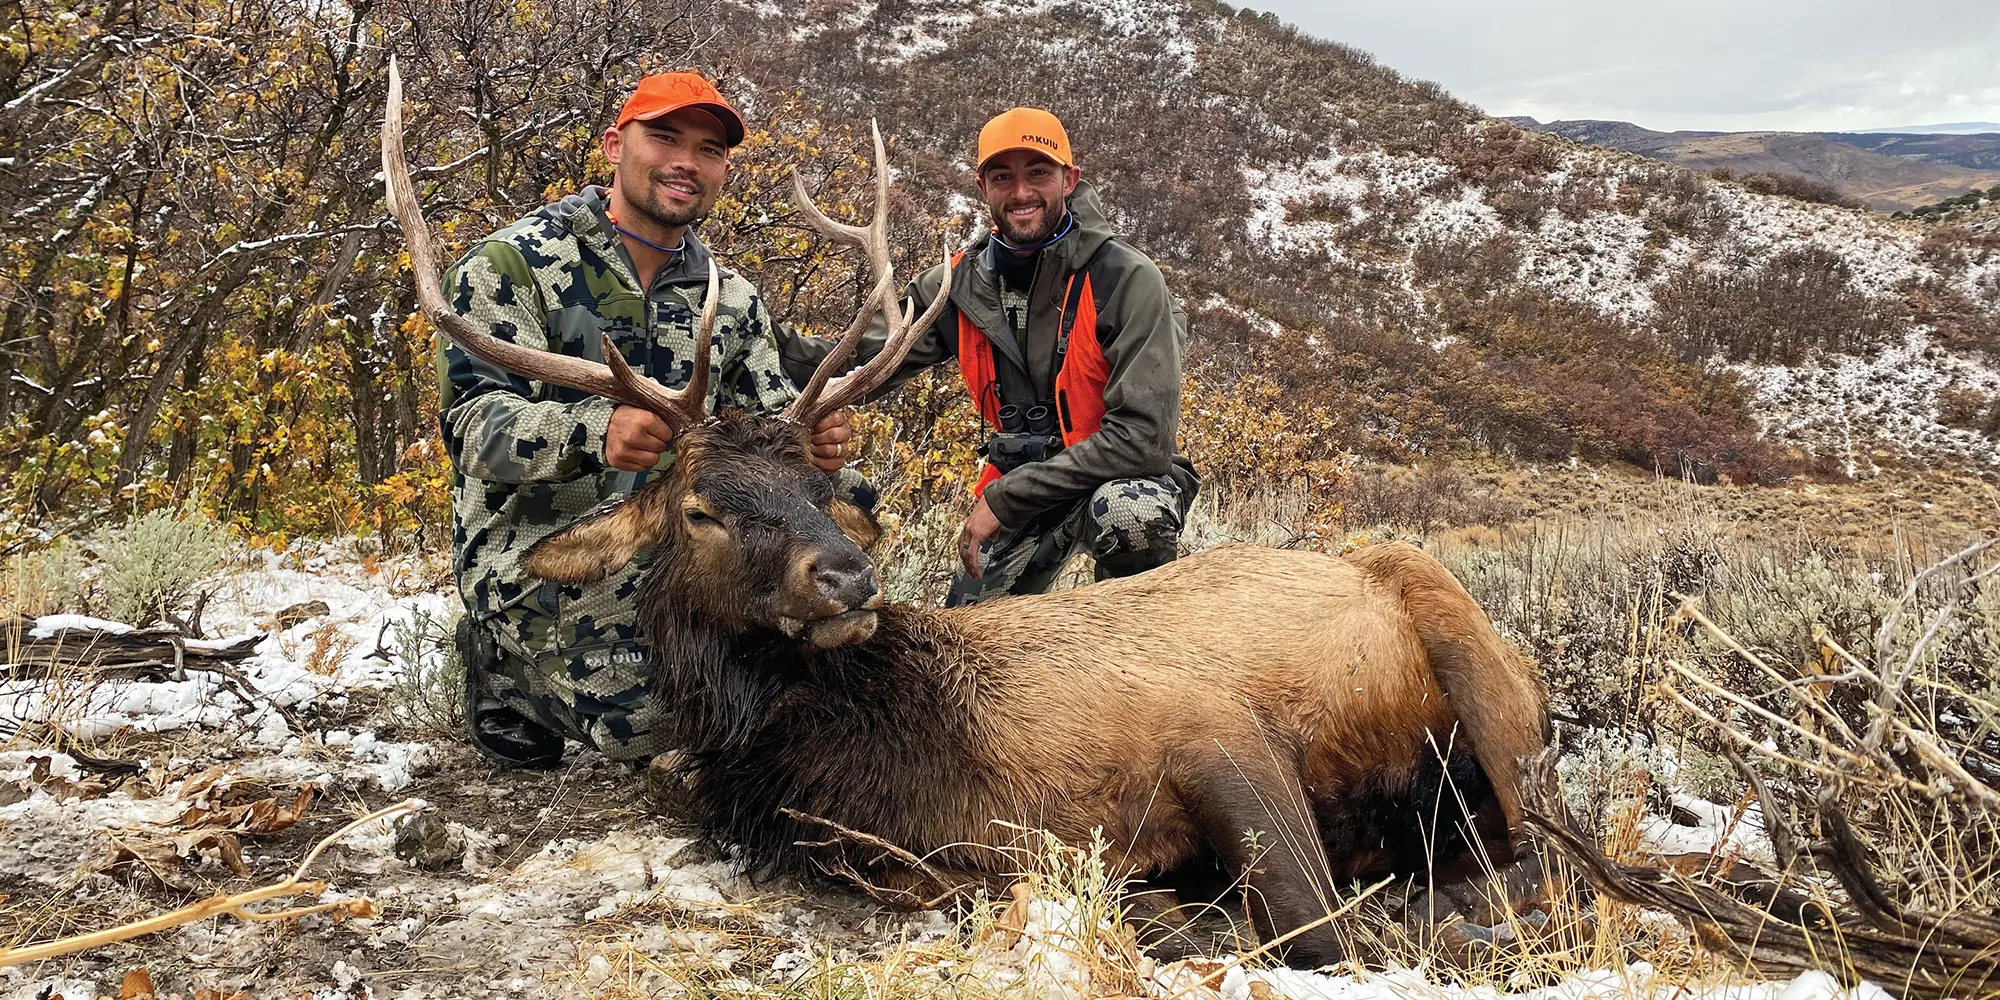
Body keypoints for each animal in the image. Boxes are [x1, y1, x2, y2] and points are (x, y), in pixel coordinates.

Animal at [382, 60, 1552, 960]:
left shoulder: (1211, 727)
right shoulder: (938, 862)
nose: (847, 577)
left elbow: (1316, 929)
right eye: (702, 509)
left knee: (1534, 845)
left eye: (822, 487)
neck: (919, 761)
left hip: (1471, 653)